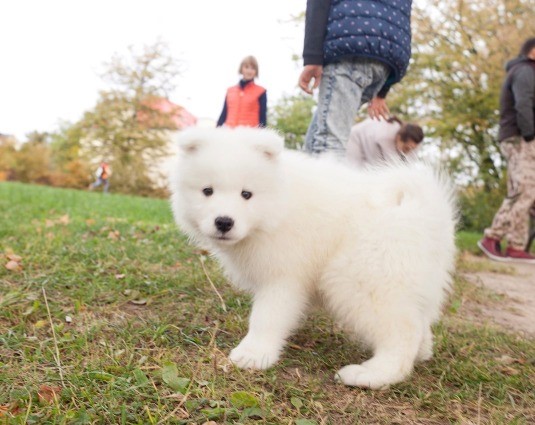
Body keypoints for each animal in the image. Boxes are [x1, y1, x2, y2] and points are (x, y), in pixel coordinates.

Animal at [171, 125, 456, 388]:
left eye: (246, 194)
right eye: (207, 191)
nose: (224, 222)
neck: (277, 207)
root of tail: (427, 212)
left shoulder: (284, 275)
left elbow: (266, 316)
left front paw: (253, 354)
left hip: (362, 278)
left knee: (402, 333)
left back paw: (370, 374)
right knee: (419, 322)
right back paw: (422, 352)